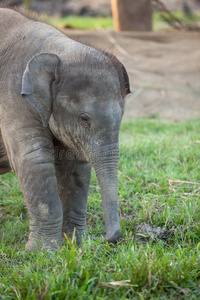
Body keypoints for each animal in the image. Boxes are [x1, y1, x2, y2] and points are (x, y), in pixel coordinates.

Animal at [0, 7, 130, 251]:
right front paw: (41, 253)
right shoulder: (10, 96)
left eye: (122, 116)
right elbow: (34, 160)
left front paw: (77, 246)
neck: (55, 49)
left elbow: (75, 165)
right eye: (84, 119)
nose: (105, 239)